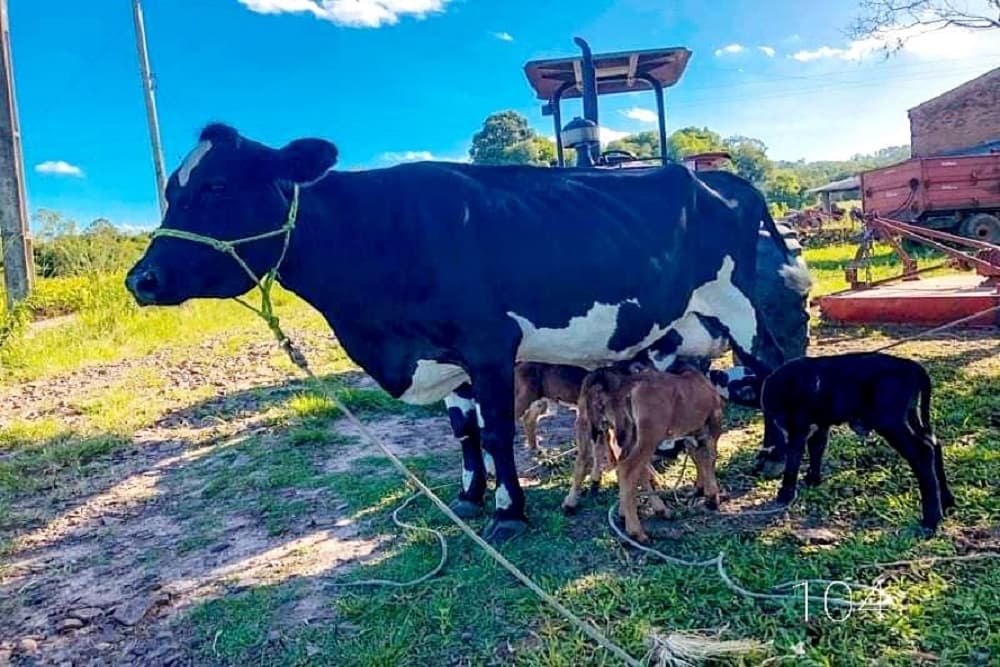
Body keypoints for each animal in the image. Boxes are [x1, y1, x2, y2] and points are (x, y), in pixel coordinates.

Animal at [125, 123, 800, 543]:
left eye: (216, 186)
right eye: (172, 190)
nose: (141, 278)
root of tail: (727, 180)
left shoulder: (488, 345)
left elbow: (498, 432)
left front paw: (509, 512)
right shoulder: (443, 355)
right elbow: (464, 431)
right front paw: (472, 495)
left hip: (742, 305)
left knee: (770, 367)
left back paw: (772, 454)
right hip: (685, 324)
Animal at [758, 352, 956, 533]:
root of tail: (913, 367)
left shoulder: (798, 429)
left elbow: (793, 461)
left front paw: (786, 493)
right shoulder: (820, 425)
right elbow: (816, 450)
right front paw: (813, 479)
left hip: (890, 422)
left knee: (923, 452)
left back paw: (931, 520)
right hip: (911, 415)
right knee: (934, 444)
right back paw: (947, 501)